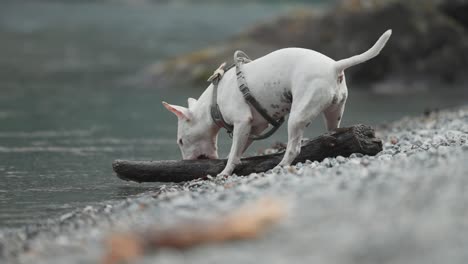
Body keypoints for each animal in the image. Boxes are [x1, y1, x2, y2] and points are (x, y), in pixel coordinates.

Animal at [164, 29, 392, 176]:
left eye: (181, 141)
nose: (185, 163)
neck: (214, 101)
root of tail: (334, 66)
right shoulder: (252, 128)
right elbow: (239, 149)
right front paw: (234, 162)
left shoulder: (242, 121)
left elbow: (233, 152)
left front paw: (225, 172)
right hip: (334, 111)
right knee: (333, 129)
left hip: (297, 116)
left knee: (294, 148)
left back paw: (281, 165)